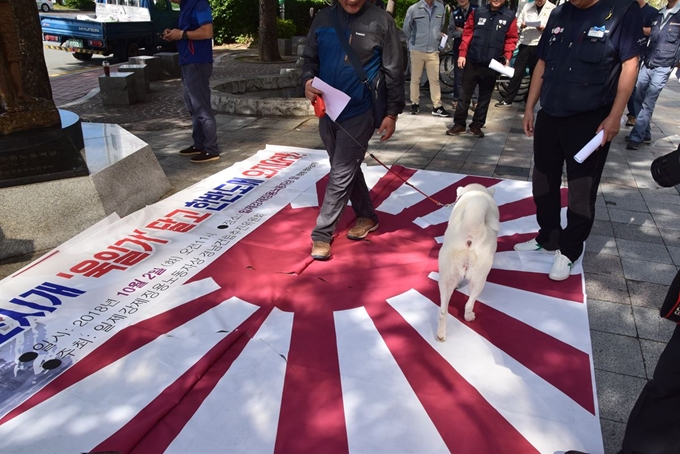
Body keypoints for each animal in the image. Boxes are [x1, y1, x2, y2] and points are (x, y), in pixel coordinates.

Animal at [436, 184, 500, 340]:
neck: (476, 191)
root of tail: (471, 230)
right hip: (480, 278)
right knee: (469, 303)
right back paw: (469, 316)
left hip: (446, 275)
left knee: (443, 310)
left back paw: (441, 335)